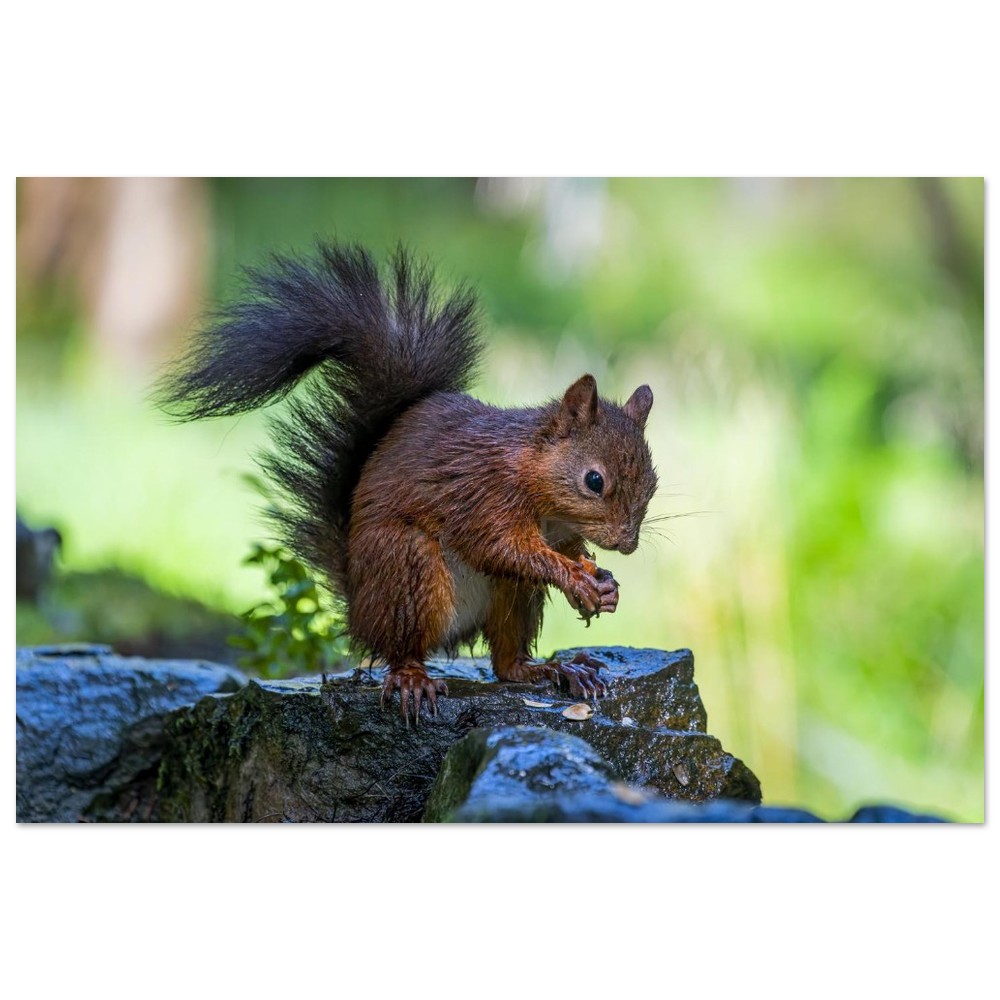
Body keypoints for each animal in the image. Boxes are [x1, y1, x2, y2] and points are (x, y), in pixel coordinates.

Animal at [158, 243, 658, 720]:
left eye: (653, 483)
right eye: (594, 480)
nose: (628, 543)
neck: (539, 487)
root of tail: (358, 607)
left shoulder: (557, 529)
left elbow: (565, 550)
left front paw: (601, 582)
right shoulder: (483, 495)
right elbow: (503, 547)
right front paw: (576, 578)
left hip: (511, 596)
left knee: (505, 662)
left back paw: (553, 669)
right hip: (407, 568)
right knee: (402, 648)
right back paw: (414, 678)